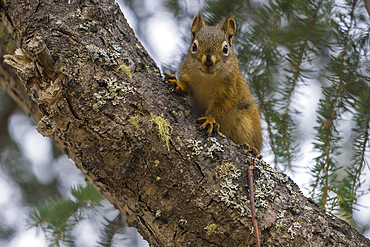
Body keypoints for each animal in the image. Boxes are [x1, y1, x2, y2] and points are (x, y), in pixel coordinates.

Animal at [165, 13, 264, 154]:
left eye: (225, 48)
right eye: (194, 46)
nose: (208, 61)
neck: (207, 79)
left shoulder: (230, 90)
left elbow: (222, 106)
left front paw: (209, 119)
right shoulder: (187, 74)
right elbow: (187, 88)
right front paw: (179, 85)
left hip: (249, 124)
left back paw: (251, 148)